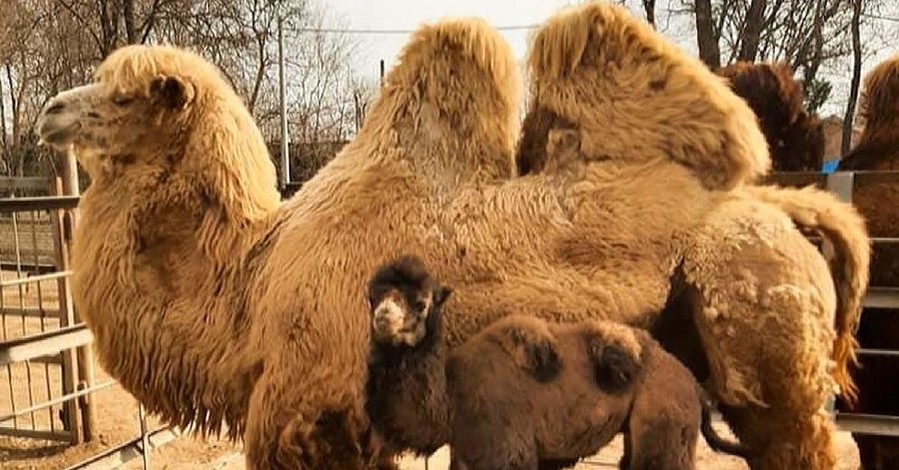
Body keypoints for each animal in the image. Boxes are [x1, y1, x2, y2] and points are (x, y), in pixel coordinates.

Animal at [362, 258, 748, 470]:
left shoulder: (505, 451)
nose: (384, 318)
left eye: (421, 303)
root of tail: (691, 382)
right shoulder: (466, 455)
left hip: (666, 414)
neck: (452, 401)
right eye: (373, 296)